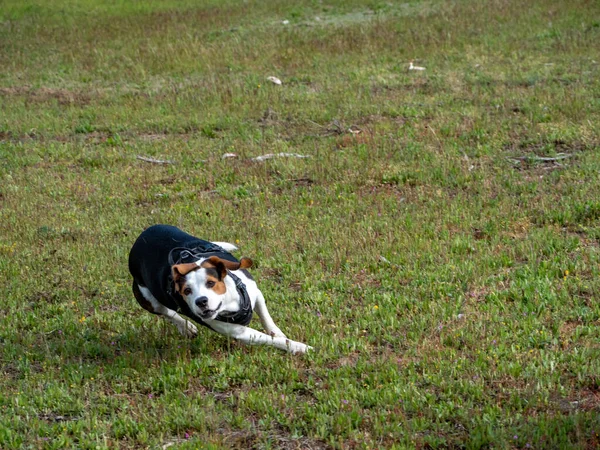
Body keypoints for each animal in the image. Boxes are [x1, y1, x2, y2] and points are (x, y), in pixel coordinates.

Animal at [128, 225, 312, 356]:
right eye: (186, 291)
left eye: (211, 283)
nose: (201, 301)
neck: (230, 302)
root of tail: (139, 240)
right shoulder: (239, 332)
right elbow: (271, 340)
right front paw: (299, 347)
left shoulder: (256, 293)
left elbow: (267, 319)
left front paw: (278, 333)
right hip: (145, 297)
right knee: (166, 311)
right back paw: (186, 327)